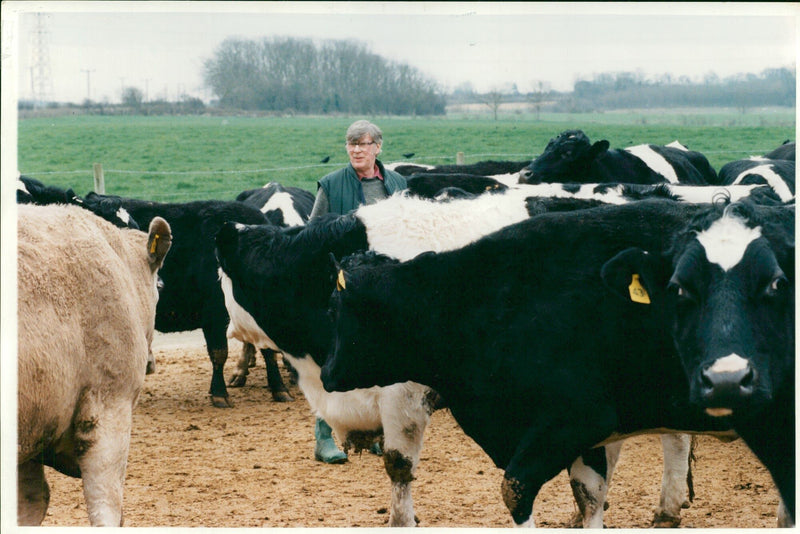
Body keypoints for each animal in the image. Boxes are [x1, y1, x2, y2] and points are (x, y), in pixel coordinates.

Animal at [320, 199, 792, 528]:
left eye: (334, 308)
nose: (325, 372)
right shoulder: (584, 438)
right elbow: (590, 495)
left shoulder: (572, 419)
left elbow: (516, 490)